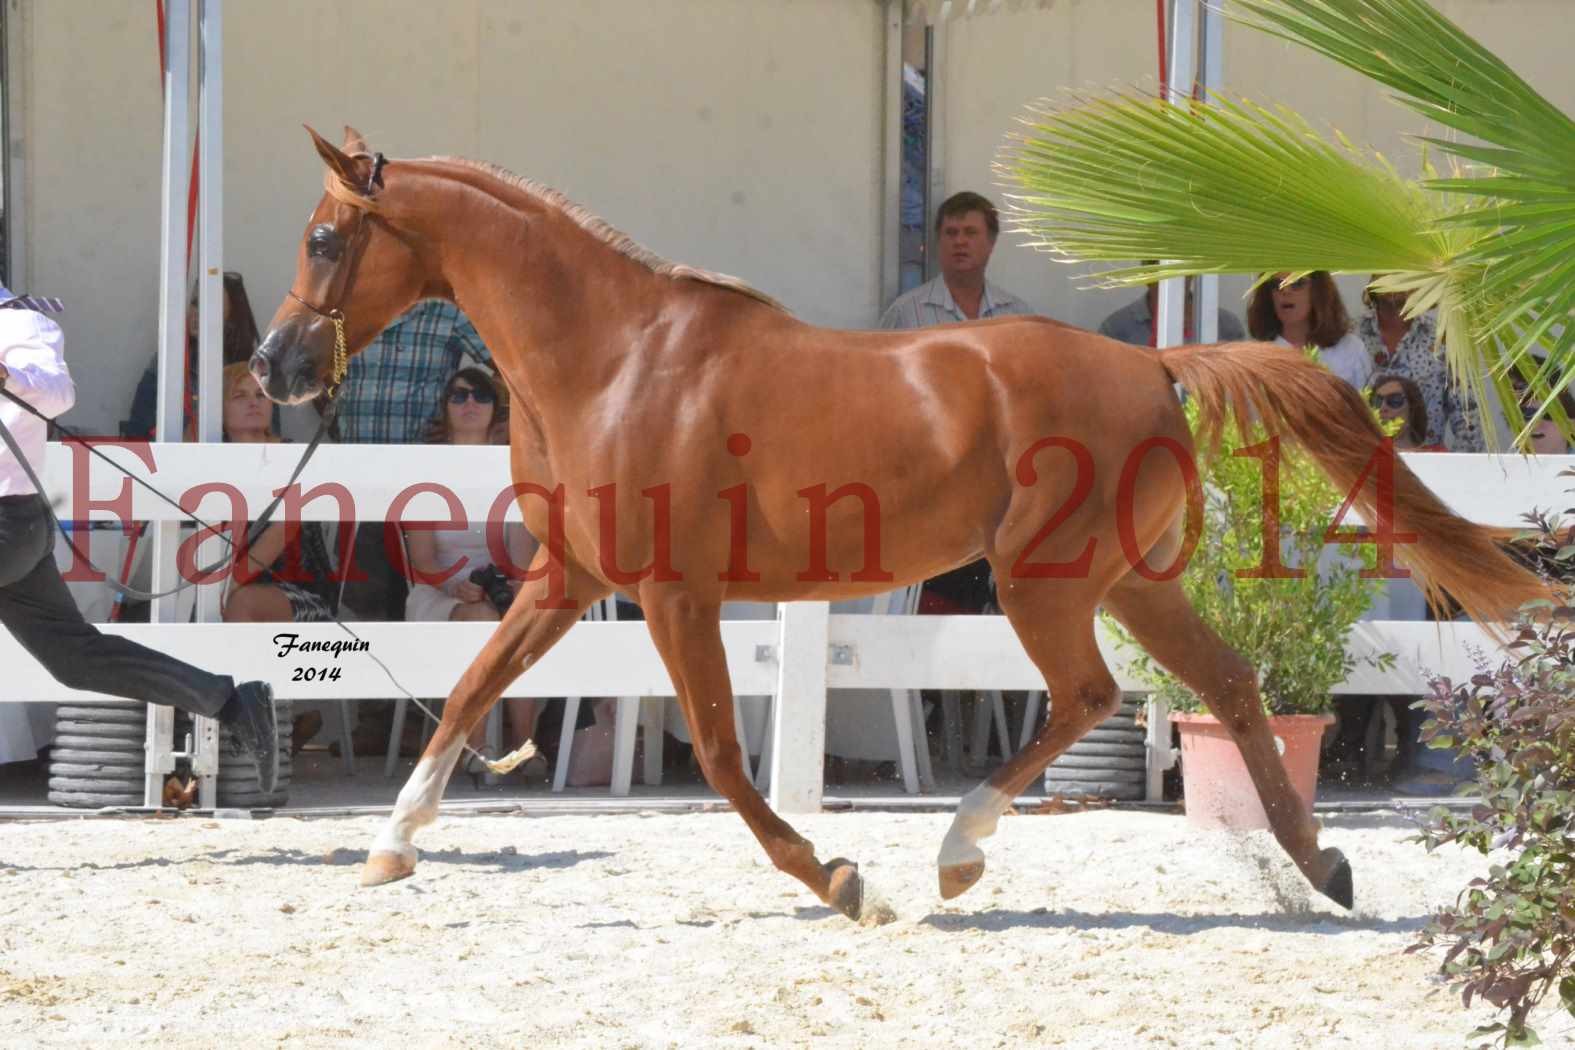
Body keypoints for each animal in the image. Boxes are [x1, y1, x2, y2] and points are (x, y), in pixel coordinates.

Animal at [258, 127, 1549, 925]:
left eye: (325, 237)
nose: (274, 367)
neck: (615, 362)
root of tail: (1156, 366)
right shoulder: (569, 583)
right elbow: (470, 689)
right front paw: (391, 845)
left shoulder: (676, 596)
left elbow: (720, 755)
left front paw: (840, 880)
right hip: (1128, 581)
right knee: (1231, 687)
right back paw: (1324, 866)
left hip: (1044, 583)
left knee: (1089, 696)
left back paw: (956, 855)